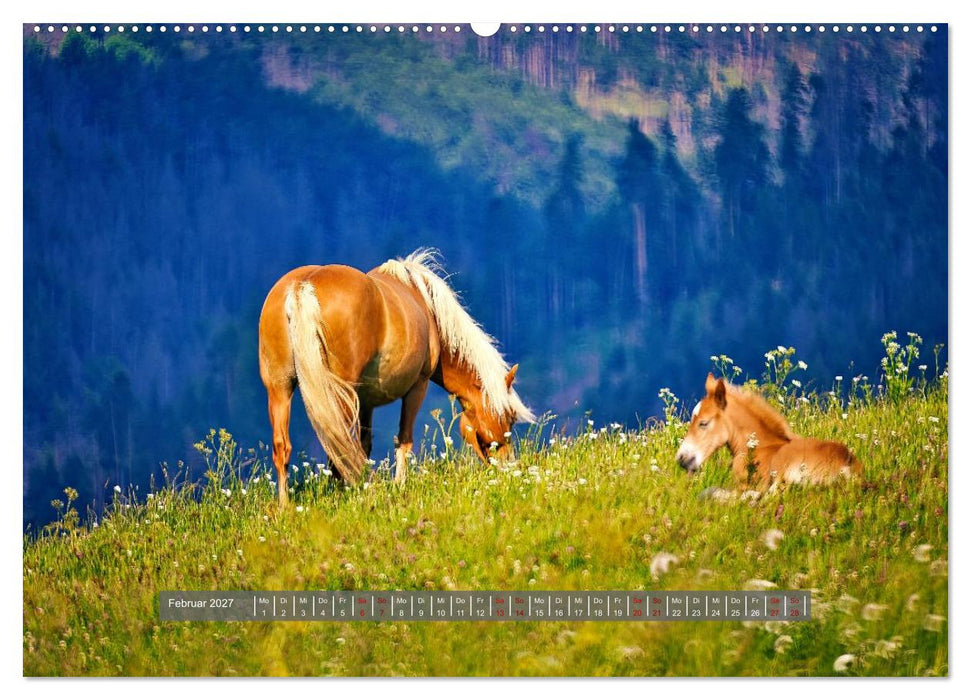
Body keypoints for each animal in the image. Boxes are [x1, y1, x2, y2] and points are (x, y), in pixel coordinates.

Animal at [258, 249, 535, 506]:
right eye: (510, 417)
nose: (508, 467)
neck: (428, 307)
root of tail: (304, 285)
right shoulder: (417, 387)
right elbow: (404, 440)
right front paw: (399, 486)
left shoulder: (365, 401)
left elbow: (365, 444)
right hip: (339, 394)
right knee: (338, 446)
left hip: (280, 389)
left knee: (285, 446)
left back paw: (285, 505)